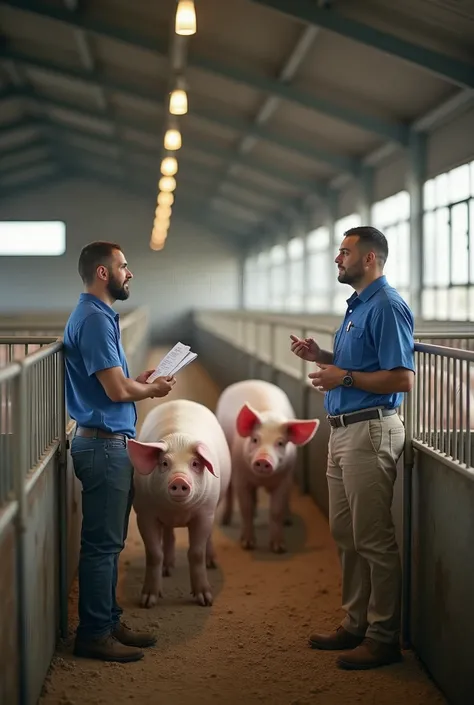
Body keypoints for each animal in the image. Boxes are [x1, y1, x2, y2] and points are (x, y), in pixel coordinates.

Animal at [126, 398, 230, 608]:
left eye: (195, 463)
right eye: (165, 463)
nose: (179, 480)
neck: (177, 511)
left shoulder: (204, 513)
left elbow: (196, 553)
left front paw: (205, 600)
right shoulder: (144, 513)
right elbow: (154, 553)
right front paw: (148, 601)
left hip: (215, 505)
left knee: (208, 537)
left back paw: (212, 563)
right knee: (168, 534)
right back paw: (168, 569)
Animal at [217, 382, 320, 552]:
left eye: (280, 443)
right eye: (254, 439)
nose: (264, 459)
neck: (262, 479)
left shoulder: (284, 479)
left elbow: (276, 511)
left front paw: (279, 548)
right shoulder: (241, 478)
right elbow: (245, 508)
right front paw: (247, 544)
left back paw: (288, 520)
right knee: (231, 491)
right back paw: (225, 520)